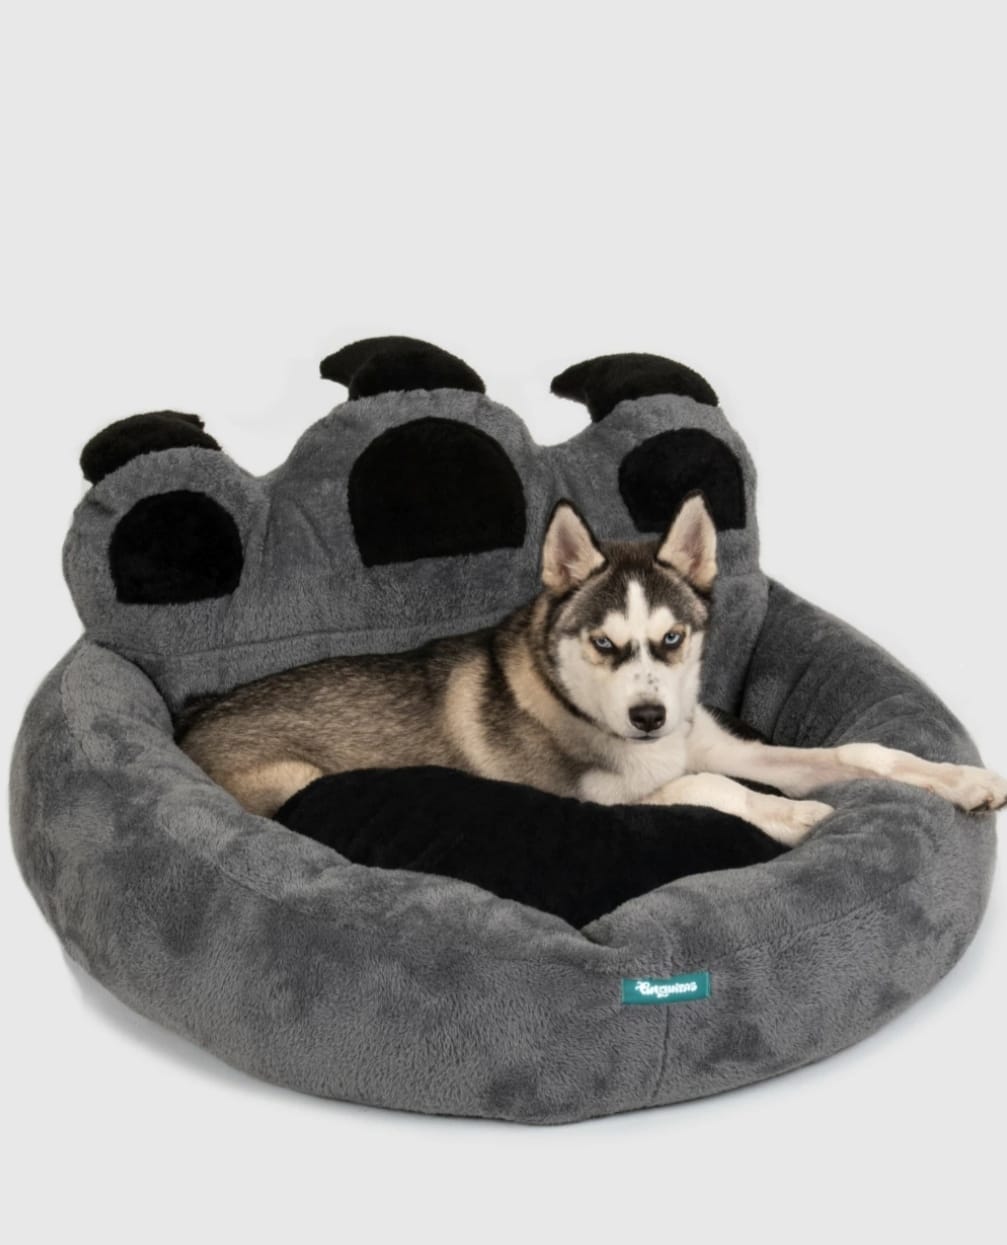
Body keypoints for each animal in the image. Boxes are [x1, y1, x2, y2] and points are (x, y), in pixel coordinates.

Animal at [177, 493, 1007, 844]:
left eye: (671, 637)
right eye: (602, 643)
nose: (648, 717)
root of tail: (189, 723)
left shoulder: (719, 741)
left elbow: (860, 752)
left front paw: (961, 780)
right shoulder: (597, 798)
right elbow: (712, 788)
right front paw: (791, 816)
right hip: (293, 780)